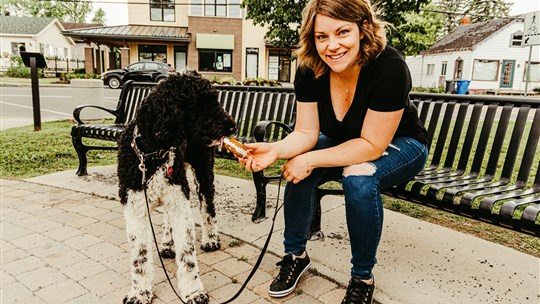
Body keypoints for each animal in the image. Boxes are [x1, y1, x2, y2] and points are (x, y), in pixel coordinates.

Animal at [117, 70, 235, 302]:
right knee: (167, 216)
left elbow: (187, 254)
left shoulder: (180, 199)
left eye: (214, 100)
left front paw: (194, 291)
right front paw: (140, 292)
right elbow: (139, 255)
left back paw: (210, 239)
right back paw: (167, 243)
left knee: (208, 207)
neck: (151, 153)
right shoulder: (135, 206)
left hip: (202, 171)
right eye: (200, 103)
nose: (232, 126)